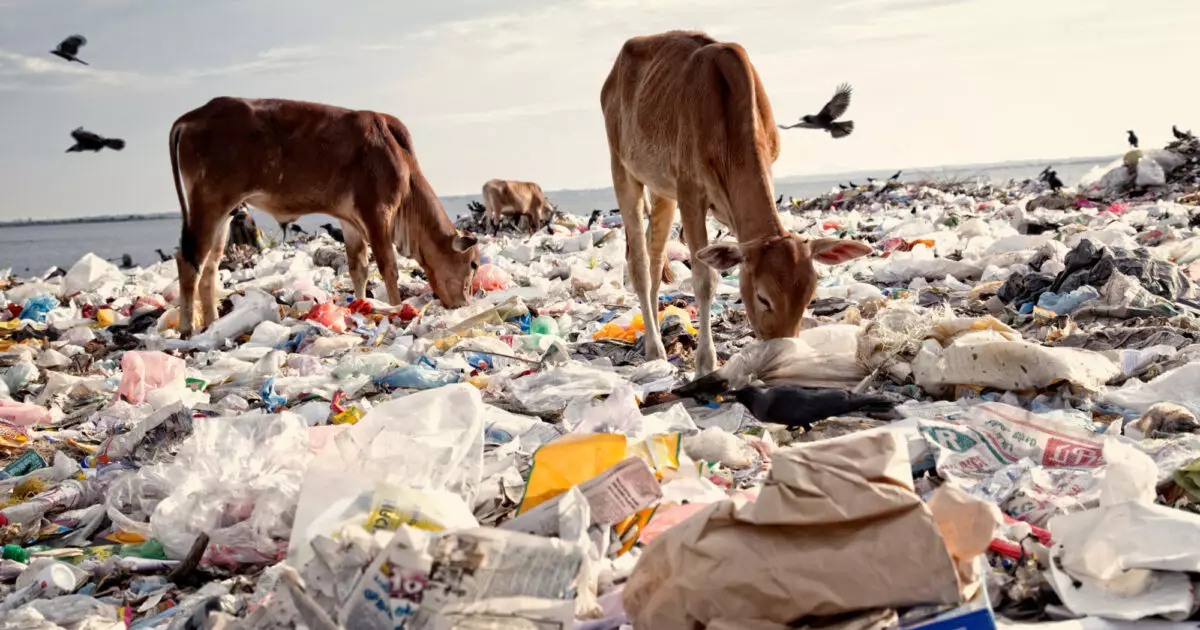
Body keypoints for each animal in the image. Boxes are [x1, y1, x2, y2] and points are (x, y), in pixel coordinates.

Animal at [169, 96, 477, 336]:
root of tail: (192, 117)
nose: (464, 303)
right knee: (188, 261)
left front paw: (362, 305)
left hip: (225, 213)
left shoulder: (349, 220)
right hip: (209, 203)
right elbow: (388, 266)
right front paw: (395, 306)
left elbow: (358, 268)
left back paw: (212, 324)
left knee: (209, 266)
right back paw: (187, 329)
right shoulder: (377, 212)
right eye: (473, 265)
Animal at [600, 33, 873, 374]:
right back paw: (654, 349)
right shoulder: (690, 192)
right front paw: (706, 361)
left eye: (809, 298)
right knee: (638, 264)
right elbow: (705, 280)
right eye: (763, 297)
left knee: (654, 258)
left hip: (662, 190)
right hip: (623, 170)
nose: (783, 352)